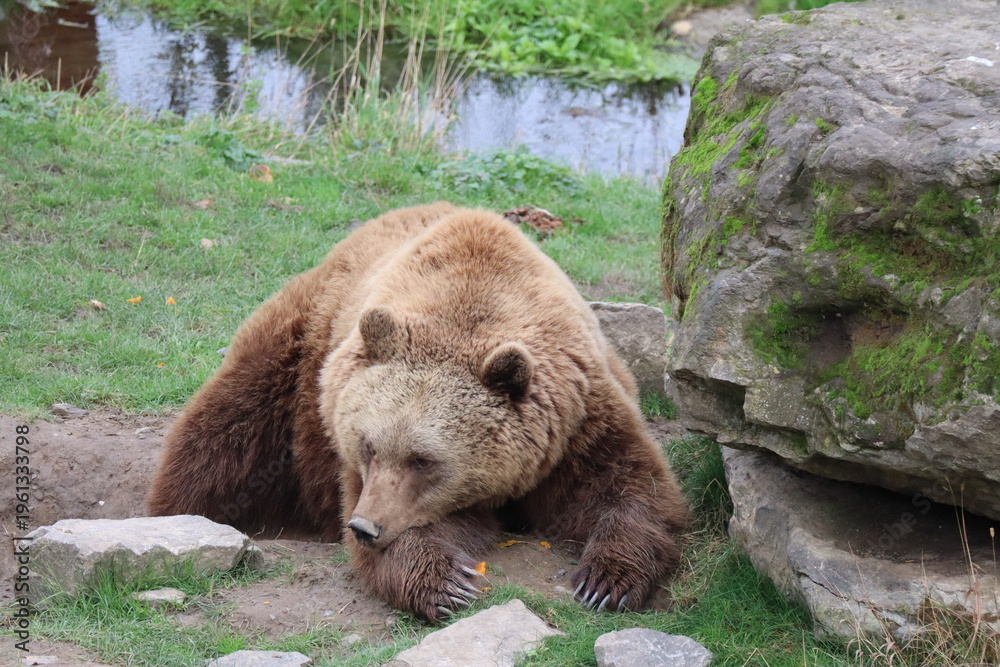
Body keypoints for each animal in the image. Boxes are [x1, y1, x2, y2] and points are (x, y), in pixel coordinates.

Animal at [147, 202, 688, 621]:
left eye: (423, 460)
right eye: (368, 446)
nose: (364, 528)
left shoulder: (577, 417)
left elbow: (632, 488)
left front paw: (605, 581)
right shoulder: (349, 455)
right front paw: (444, 584)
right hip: (296, 353)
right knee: (222, 436)